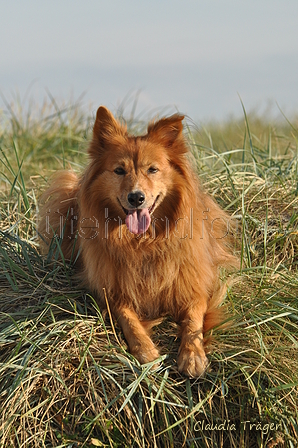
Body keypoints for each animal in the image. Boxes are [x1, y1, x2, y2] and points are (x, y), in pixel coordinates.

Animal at [39, 107, 237, 376]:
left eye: (152, 170)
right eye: (119, 170)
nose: (136, 197)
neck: (144, 243)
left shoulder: (194, 287)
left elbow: (193, 321)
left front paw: (193, 355)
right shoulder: (112, 292)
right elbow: (129, 320)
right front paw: (146, 351)